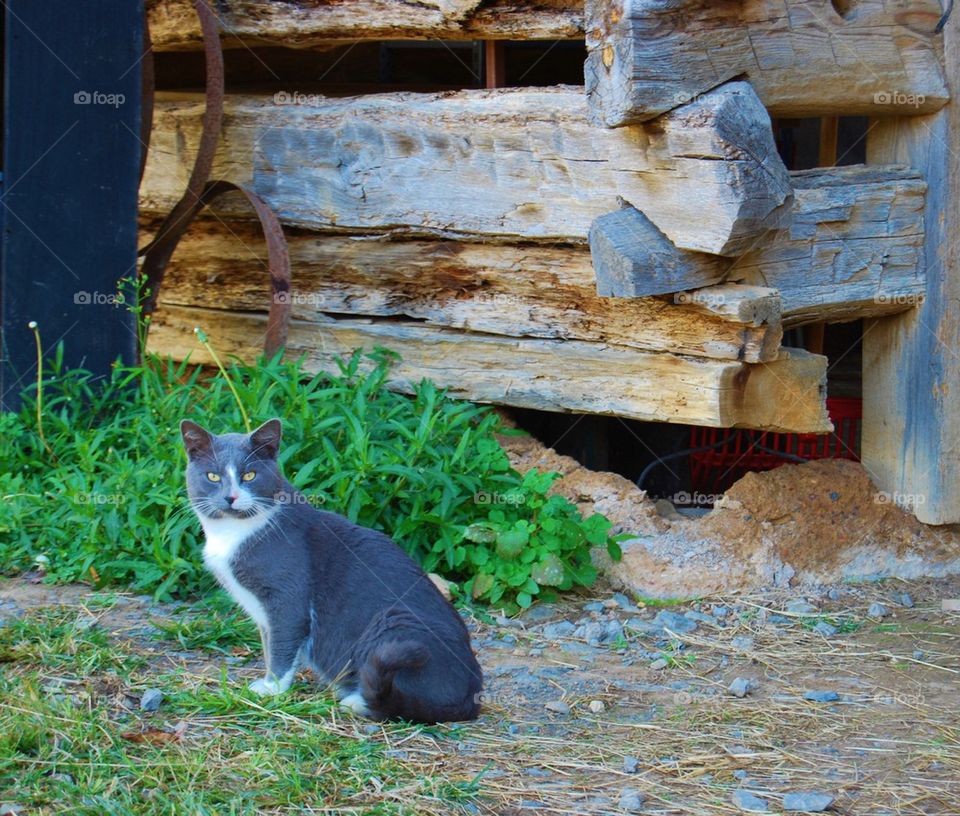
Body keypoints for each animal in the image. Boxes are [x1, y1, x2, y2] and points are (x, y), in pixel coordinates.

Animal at [179, 418, 484, 724]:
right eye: (213, 477)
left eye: (250, 475)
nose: (230, 497)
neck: (232, 534)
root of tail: (471, 697)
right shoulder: (263, 613)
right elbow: (268, 644)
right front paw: (267, 683)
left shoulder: (287, 597)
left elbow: (282, 646)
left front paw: (272, 689)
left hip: (394, 623)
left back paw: (356, 701)